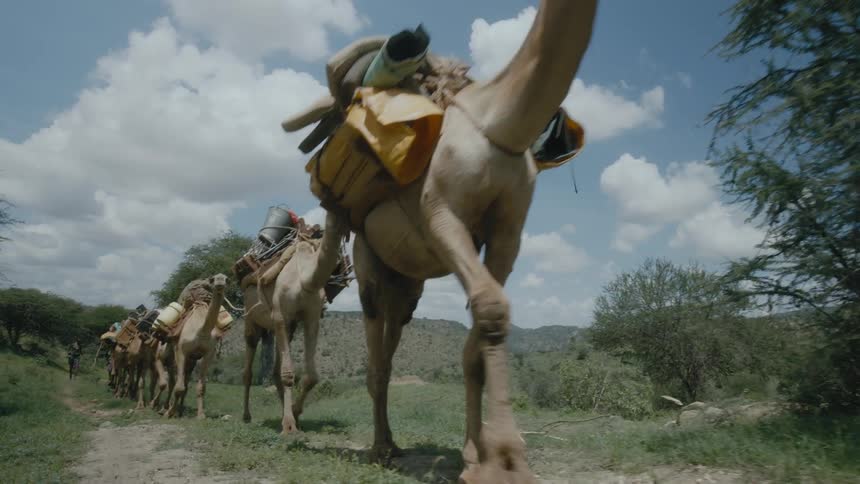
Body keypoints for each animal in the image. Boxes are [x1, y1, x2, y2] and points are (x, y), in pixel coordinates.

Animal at [164, 274, 228, 419]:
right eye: (213, 278)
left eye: (227, 278)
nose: (220, 282)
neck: (201, 331)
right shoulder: (181, 351)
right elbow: (179, 387)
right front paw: (170, 412)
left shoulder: (207, 354)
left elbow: (201, 387)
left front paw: (201, 415)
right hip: (171, 353)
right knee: (172, 380)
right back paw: (164, 408)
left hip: (191, 360)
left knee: (185, 381)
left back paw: (179, 411)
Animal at [240, 227, 345, 434]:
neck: (304, 278)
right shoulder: (281, 316)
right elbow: (288, 374)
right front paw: (289, 426)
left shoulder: (311, 318)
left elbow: (311, 376)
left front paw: (294, 414)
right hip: (251, 319)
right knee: (248, 368)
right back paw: (246, 416)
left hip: (288, 327)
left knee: (274, 370)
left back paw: (283, 412)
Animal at [295, 1, 598, 481]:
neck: (497, 126)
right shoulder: (440, 214)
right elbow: (491, 310)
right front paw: (507, 463)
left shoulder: (509, 231)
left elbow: (477, 337)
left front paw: (475, 455)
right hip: (368, 262)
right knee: (375, 357)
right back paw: (379, 448)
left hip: (407, 286)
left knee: (391, 345)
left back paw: (393, 443)